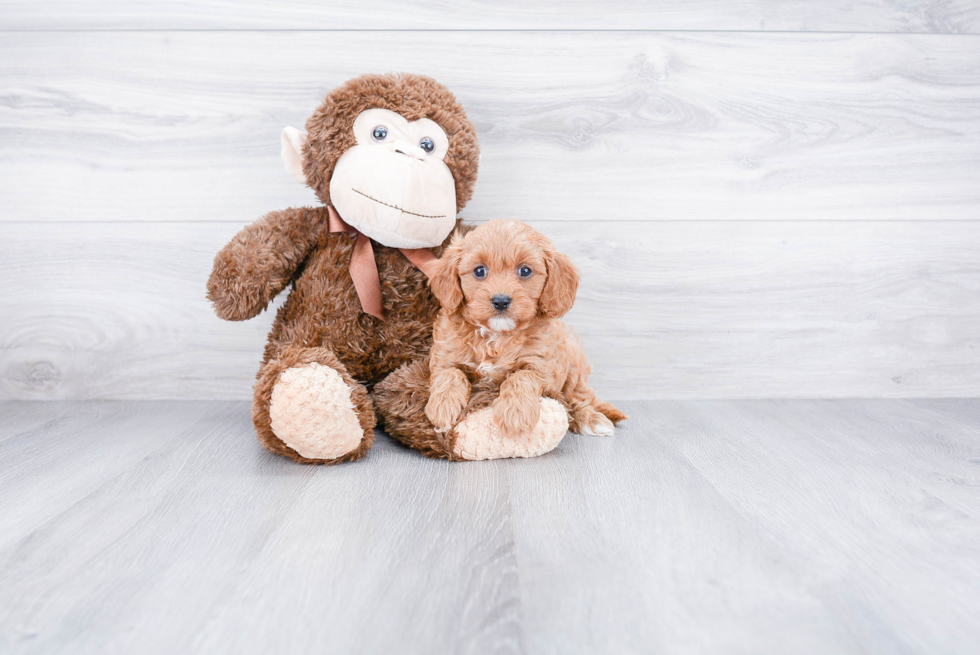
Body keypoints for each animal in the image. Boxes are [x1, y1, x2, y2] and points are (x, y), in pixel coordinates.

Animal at [424, 220, 624, 440]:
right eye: (479, 271)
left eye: (525, 271)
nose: (500, 301)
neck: (496, 336)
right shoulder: (445, 356)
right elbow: (450, 373)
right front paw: (443, 407)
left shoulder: (542, 365)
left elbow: (521, 377)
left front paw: (515, 414)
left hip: (574, 364)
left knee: (576, 399)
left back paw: (592, 420)